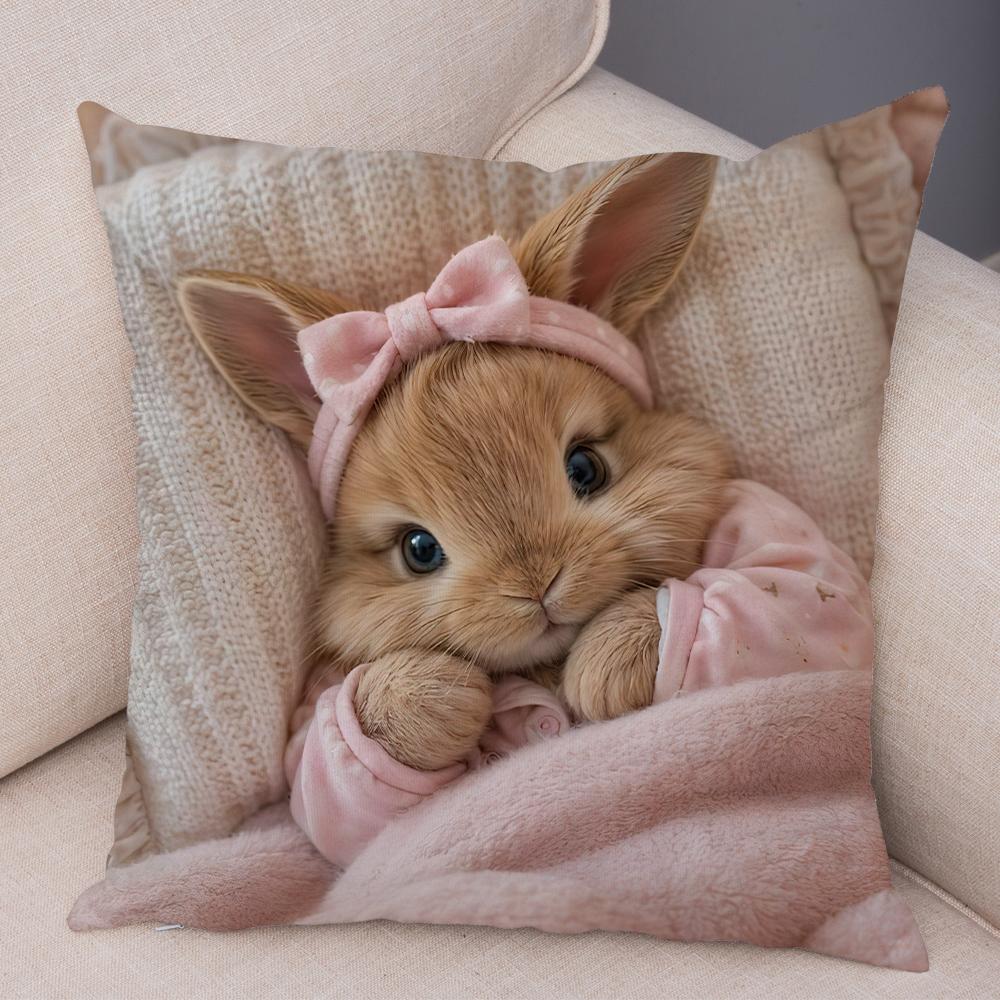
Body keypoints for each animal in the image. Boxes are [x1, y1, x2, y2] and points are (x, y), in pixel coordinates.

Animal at [178, 152, 732, 773]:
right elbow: (315, 758)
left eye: (586, 468)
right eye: (419, 549)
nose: (535, 588)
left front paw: (604, 670)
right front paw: (449, 697)